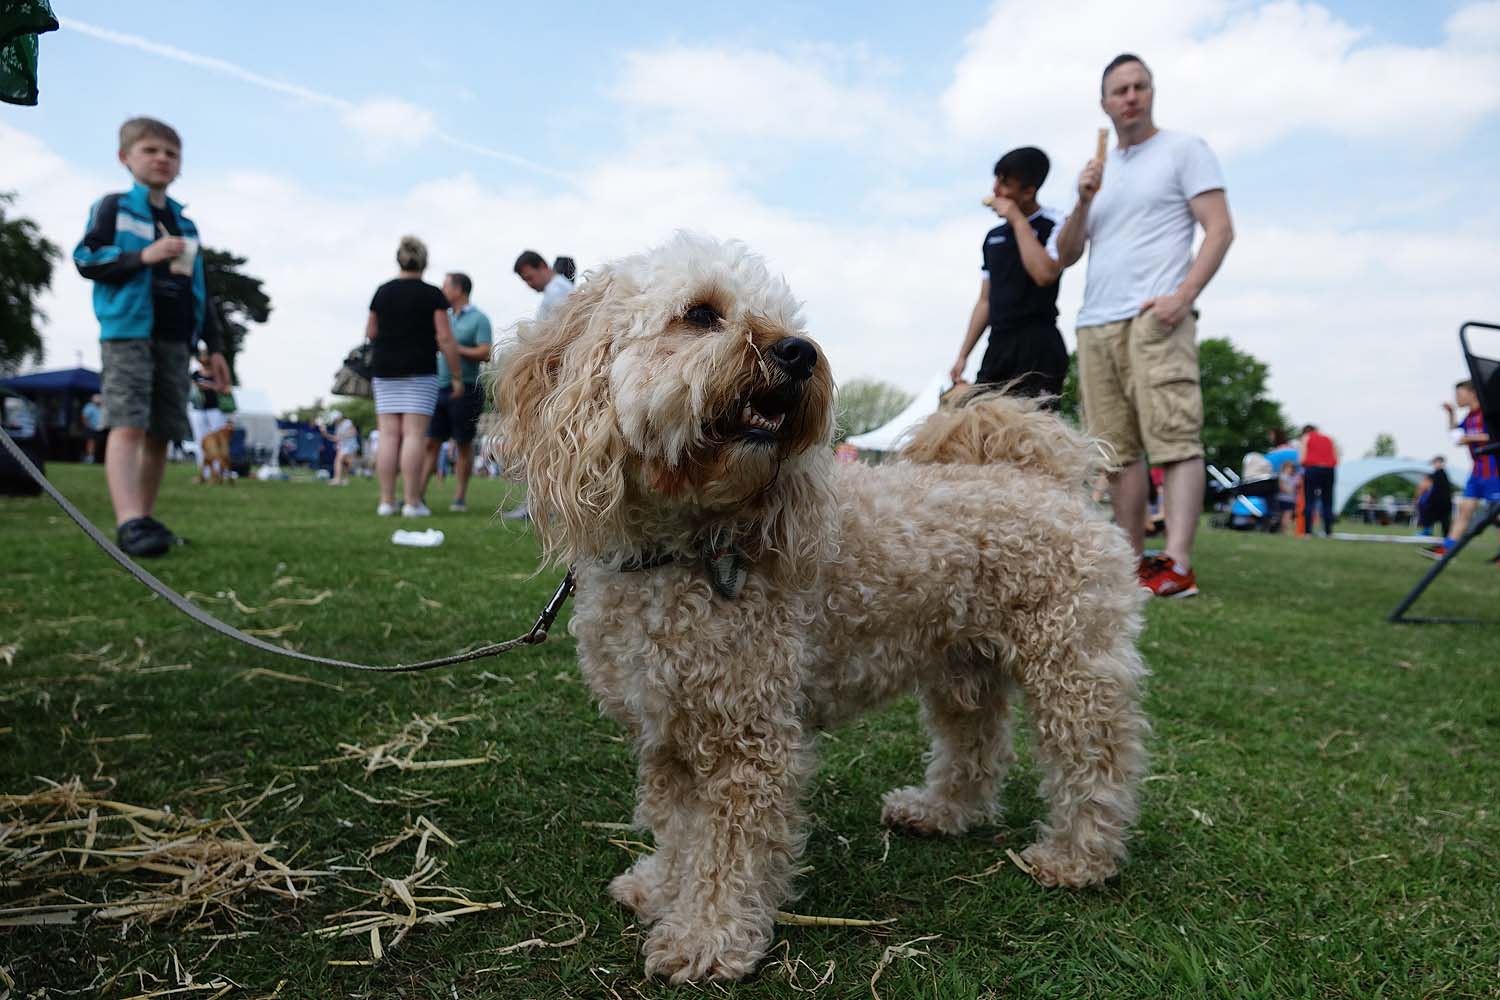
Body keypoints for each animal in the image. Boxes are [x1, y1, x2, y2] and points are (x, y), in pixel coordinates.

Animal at [495, 235, 1146, 983]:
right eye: (700, 314)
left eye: (787, 320)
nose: (799, 352)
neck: (684, 549)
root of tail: (1045, 480)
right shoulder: (668, 729)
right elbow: (678, 828)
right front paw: (661, 887)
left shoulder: (748, 734)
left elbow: (728, 849)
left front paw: (707, 937)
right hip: (965, 665)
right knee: (976, 743)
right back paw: (941, 811)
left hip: (1073, 664)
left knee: (1095, 760)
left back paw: (1078, 857)